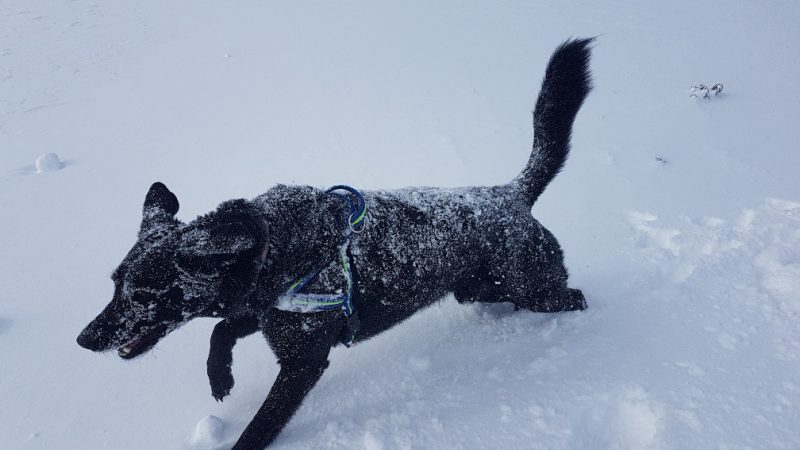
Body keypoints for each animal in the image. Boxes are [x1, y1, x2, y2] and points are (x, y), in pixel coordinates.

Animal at [78, 38, 592, 450]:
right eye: (113, 284)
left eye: (142, 294)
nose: (84, 339)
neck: (270, 248)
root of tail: (511, 194)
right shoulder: (266, 312)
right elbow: (221, 328)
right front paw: (219, 377)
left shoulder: (303, 363)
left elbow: (258, 427)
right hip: (475, 287)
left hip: (538, 287)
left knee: (574, 297)